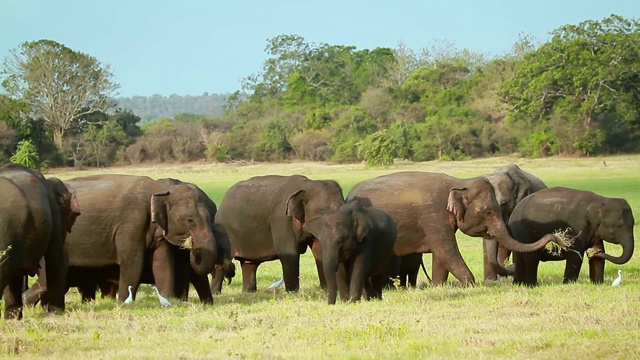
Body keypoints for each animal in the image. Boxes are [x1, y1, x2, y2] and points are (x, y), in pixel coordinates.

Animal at [214, 175, 344, 292]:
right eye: (322, 211)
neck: (308, 184)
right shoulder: (281, 220)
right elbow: (288, 252)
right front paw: (293, 292)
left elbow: (319, 249)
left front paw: (327, 290)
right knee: (223, 262)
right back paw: (216, 293)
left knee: (249, 264)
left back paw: (248, 292)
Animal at [344, 172, 560, 286]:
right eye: (488, 211)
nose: (556, 238)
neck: (459, 182)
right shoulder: (434, 214)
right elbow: (446, 251)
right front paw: (470, 284)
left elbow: (441, 257)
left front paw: (438, 286)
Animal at [504, 187, 636, 286]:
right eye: (619, 225)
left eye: (633, 224)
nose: (594, 253)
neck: (600, 200)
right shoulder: (577, 226)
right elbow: (575, 255)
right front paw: (569, 283)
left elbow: (598, 257)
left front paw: (598, 283)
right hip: (524, 232)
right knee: (531, 258)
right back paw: (531, 285)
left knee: (520, 257)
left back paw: (518, 284)